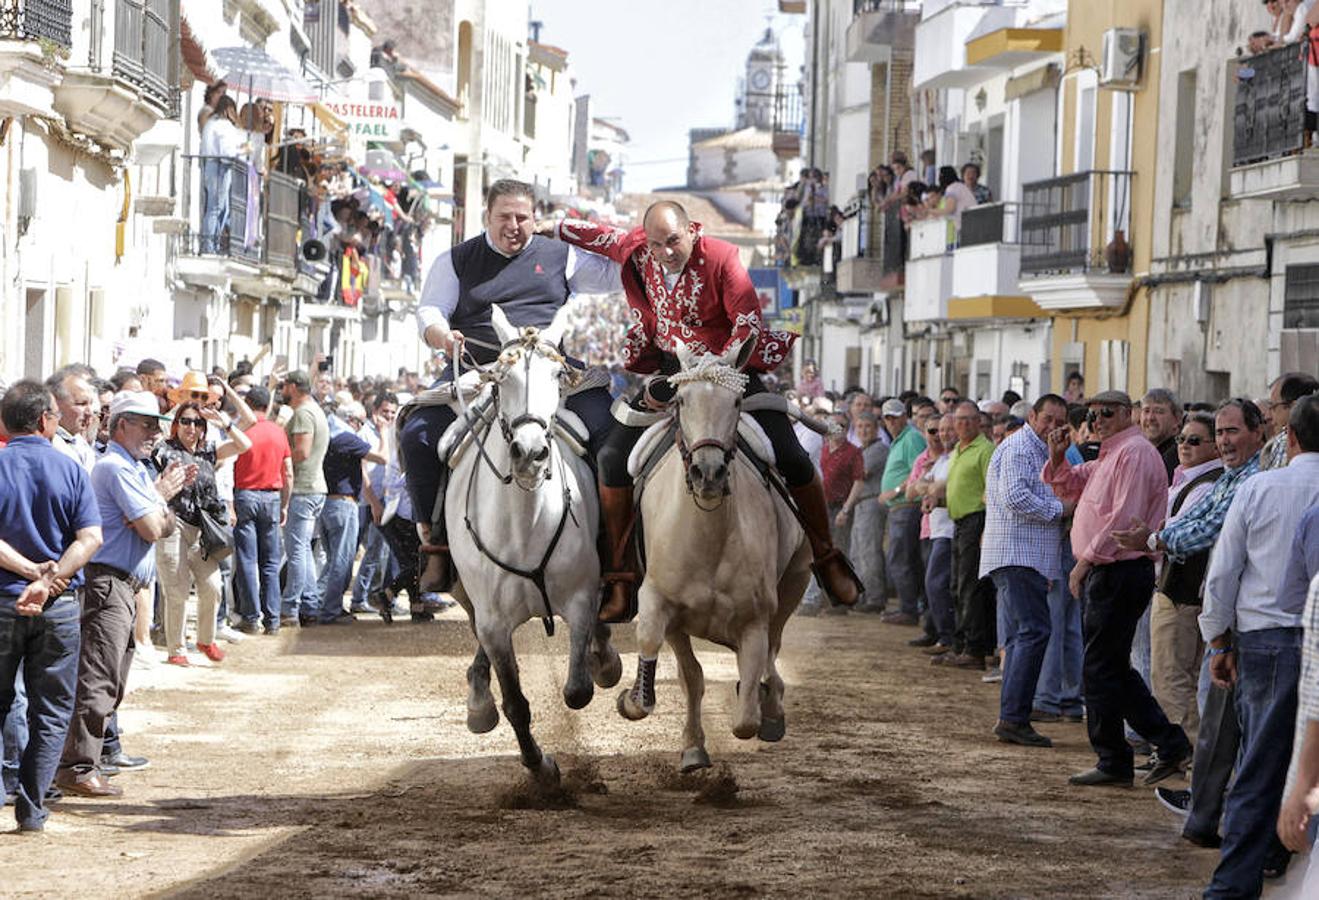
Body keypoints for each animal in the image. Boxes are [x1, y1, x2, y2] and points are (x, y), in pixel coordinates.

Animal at [445, 304, 619, 781]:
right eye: (502, 379)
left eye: (557, 375)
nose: (530, 452)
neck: (525, 523)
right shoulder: (494, 623)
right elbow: (515, 704)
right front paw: (542, 770)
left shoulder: (579, 598)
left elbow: (577, 689)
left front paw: (601, 663)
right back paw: (479, 701)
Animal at [617, 336, 812, 770]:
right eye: (681, 400)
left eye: (736, 402)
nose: (708, 473)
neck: (708, 537)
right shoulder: (661, 603)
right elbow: (681, 670)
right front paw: (644, 706)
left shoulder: (754, 620)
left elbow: (745, 719)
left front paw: (761, 707)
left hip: (796, 579)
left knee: (773, 653)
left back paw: (771, 704)